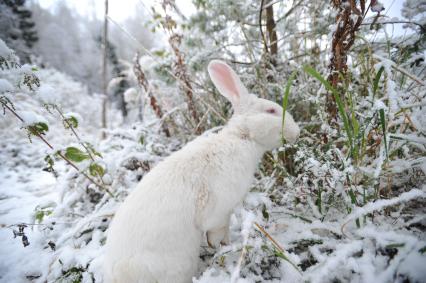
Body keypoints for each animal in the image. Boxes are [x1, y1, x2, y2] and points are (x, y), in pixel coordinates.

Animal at [104, 60, 300, 283]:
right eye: (271, 111)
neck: (242, 137)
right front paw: (224, 248)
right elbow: (217, 232)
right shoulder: (219, 212)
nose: (297, 132)